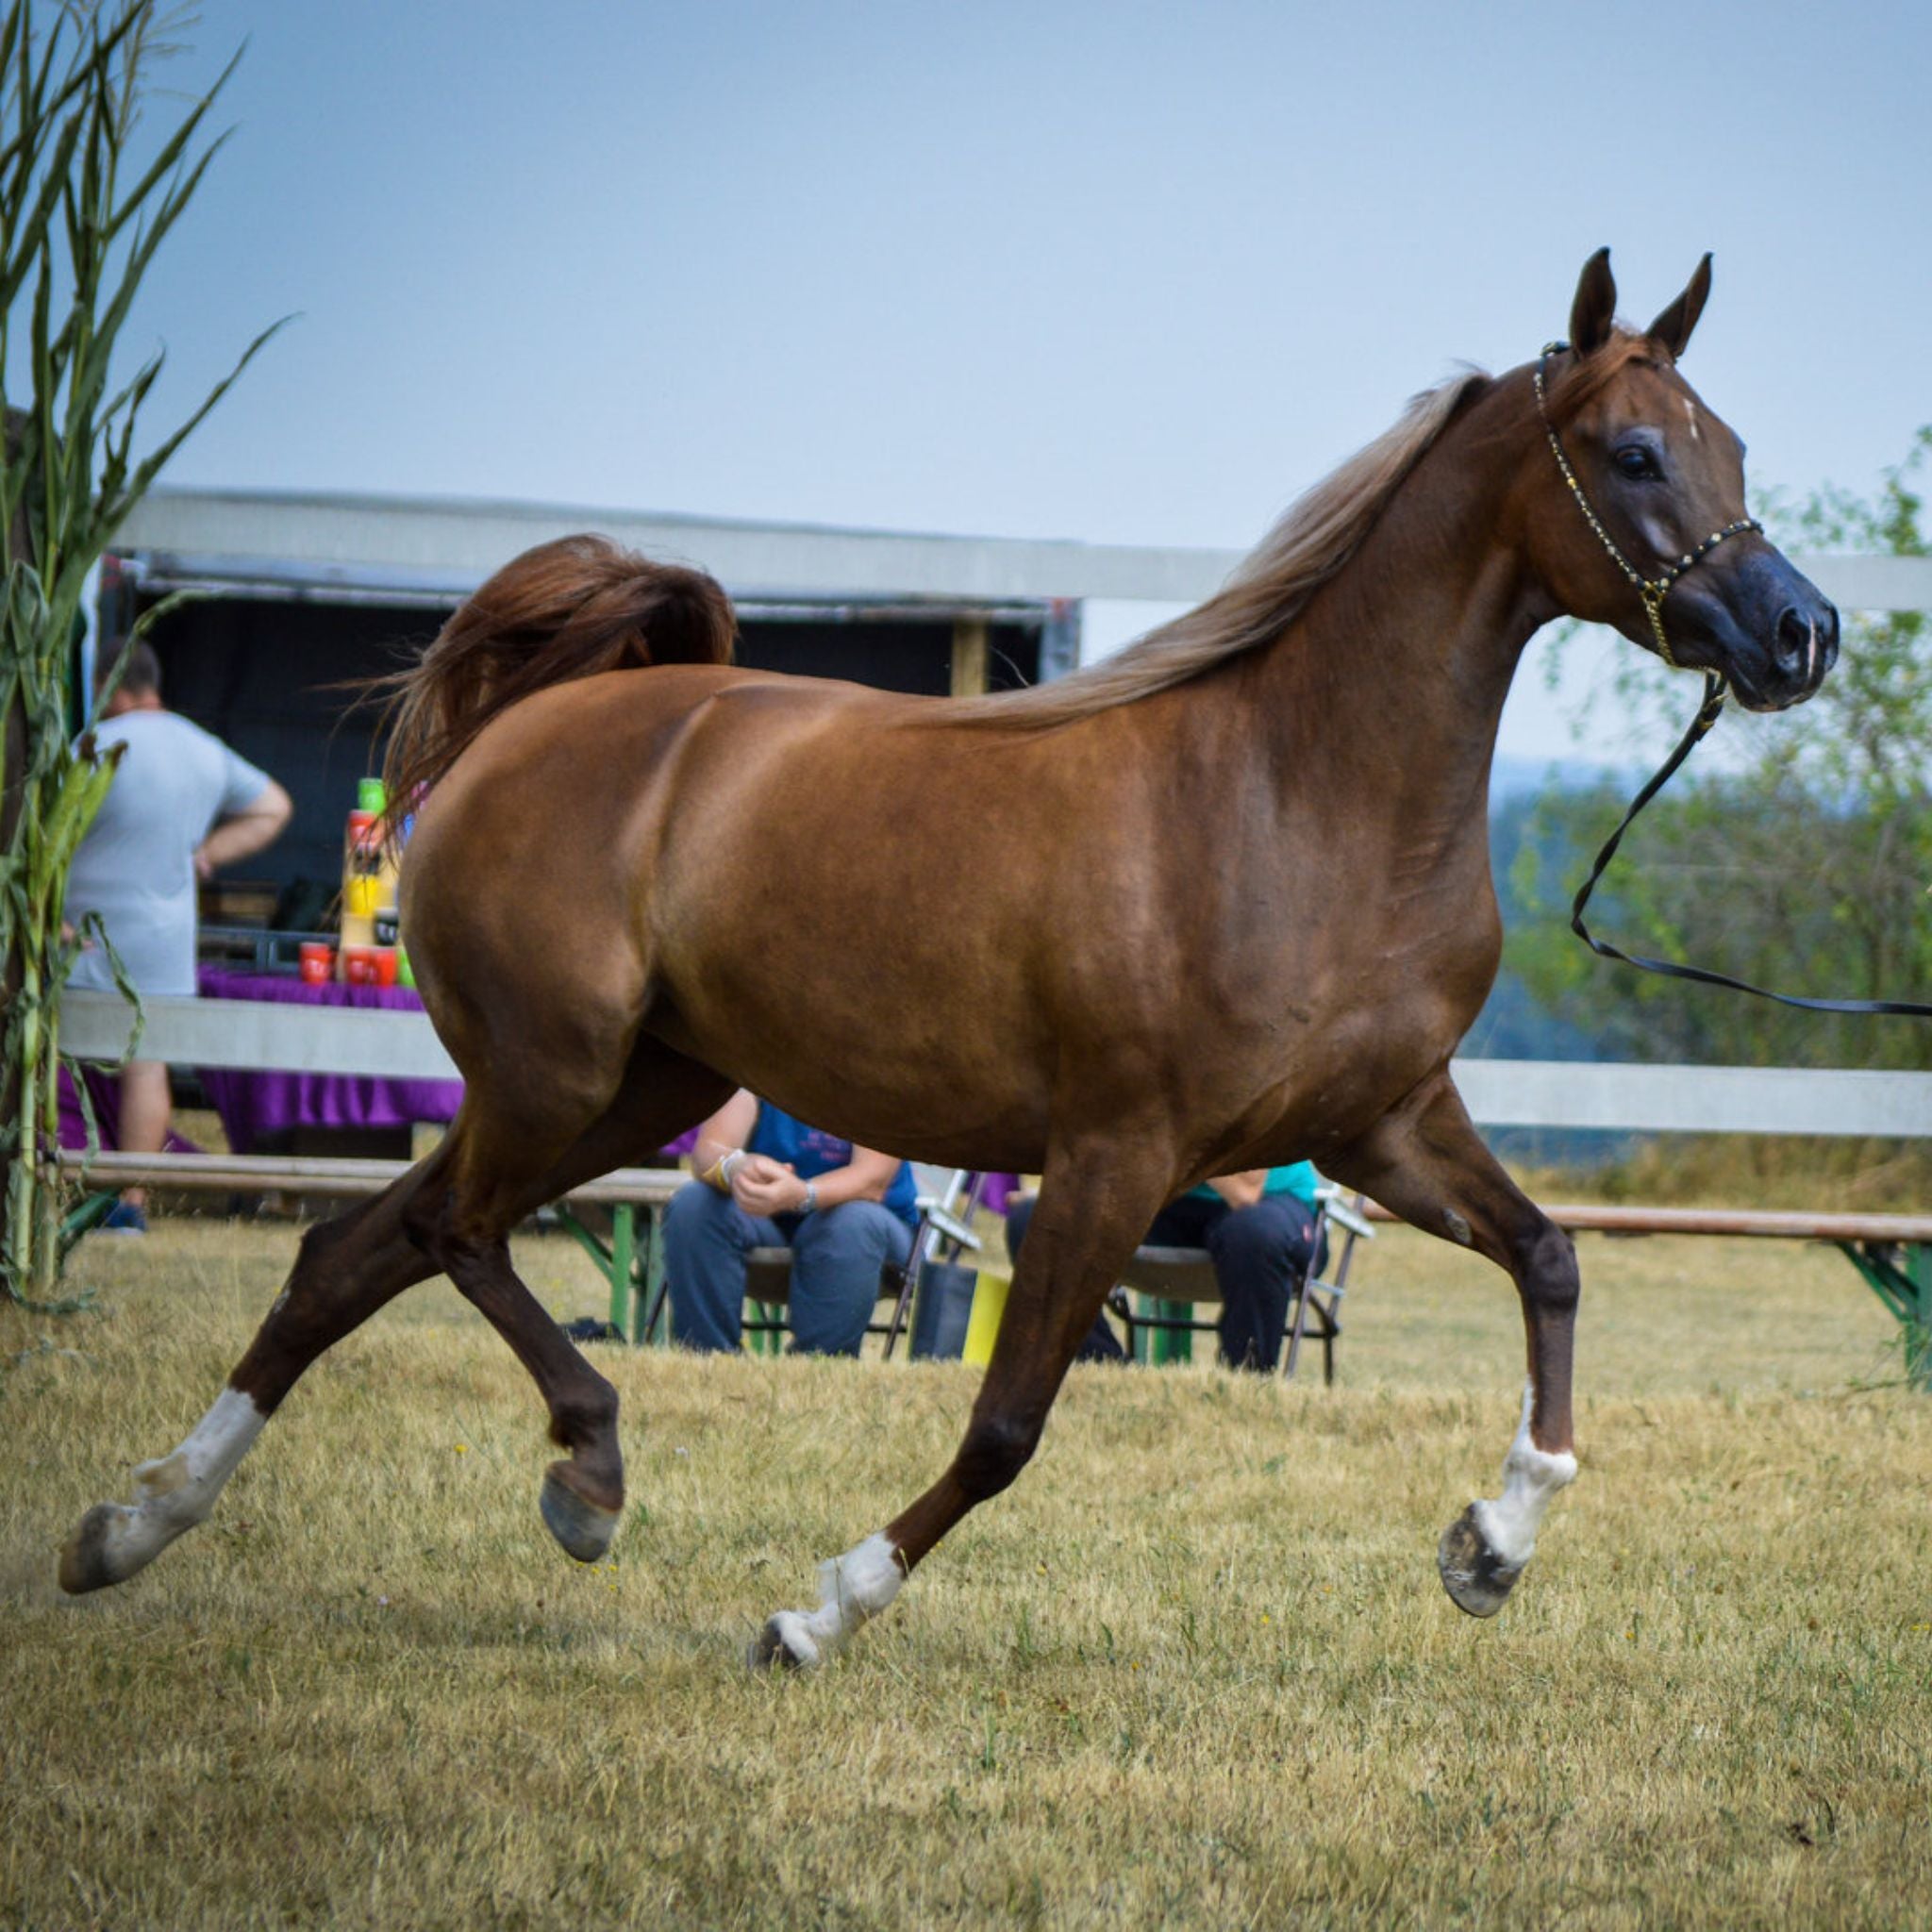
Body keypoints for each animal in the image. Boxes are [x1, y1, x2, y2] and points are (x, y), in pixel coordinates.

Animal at [64, 257, 1839, 1669]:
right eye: (1633, 452)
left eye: (1734, 448)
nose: (1797, 634)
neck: (1299, 797)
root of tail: (551, 720)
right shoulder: (1113, 1152)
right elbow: (1004, 1425)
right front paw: (812, 1613)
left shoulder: (1378, 1128)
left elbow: (1550, 1263)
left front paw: (1491, 1542)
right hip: (551, 1076)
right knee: (441, 1230)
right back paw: (585, 1473)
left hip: (639, 1085)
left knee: (353, 1252)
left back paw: (133, 1523)